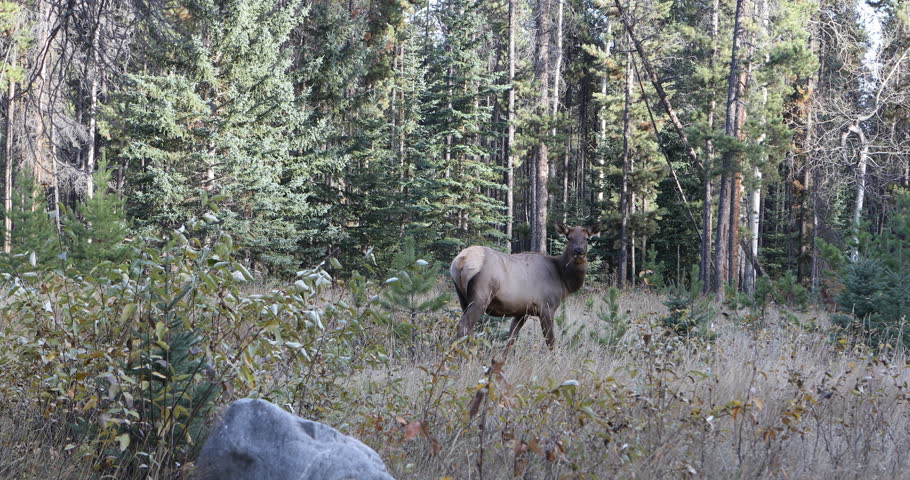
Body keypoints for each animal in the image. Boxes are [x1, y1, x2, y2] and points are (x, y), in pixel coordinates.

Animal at [450, 223, 600, 348]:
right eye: (569, 238)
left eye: (587, 238)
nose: (578, 251)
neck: (564, 280)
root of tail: (460, 260)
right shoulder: (546, 307)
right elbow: (550, 342)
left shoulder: (522, 311)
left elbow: (511, 340)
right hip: (481, 296)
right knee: (463, 326)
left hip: (462, 297)